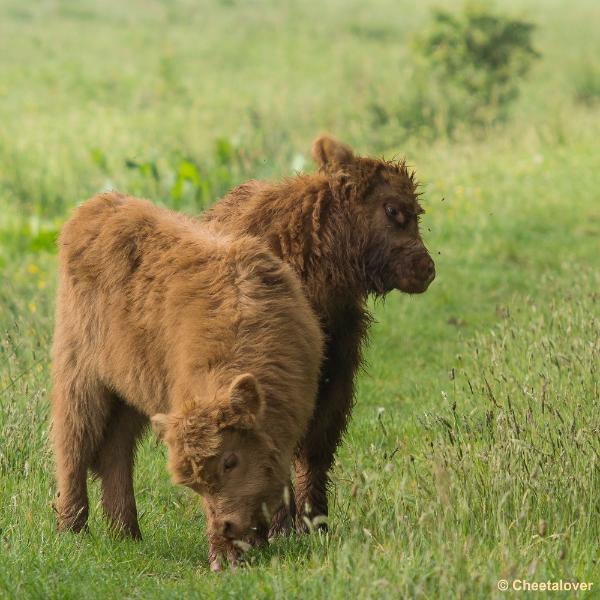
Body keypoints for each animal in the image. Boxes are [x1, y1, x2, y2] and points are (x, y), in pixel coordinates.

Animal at [51, 193, 324, 572]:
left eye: (231, 461)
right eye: (196, 484)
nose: (226, 525)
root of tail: (97, 204)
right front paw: (223, 557)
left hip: (129, 392)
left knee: (115, 452)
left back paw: (126, 535)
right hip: (79, 375)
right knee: (73, 446)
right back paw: (72, 531)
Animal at [203, 137, 436, 536]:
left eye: (417, 212)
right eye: (393, 209)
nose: (427, 268)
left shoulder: (336, 381)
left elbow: (315, 451)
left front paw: (315, 522)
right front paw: (281, 527)